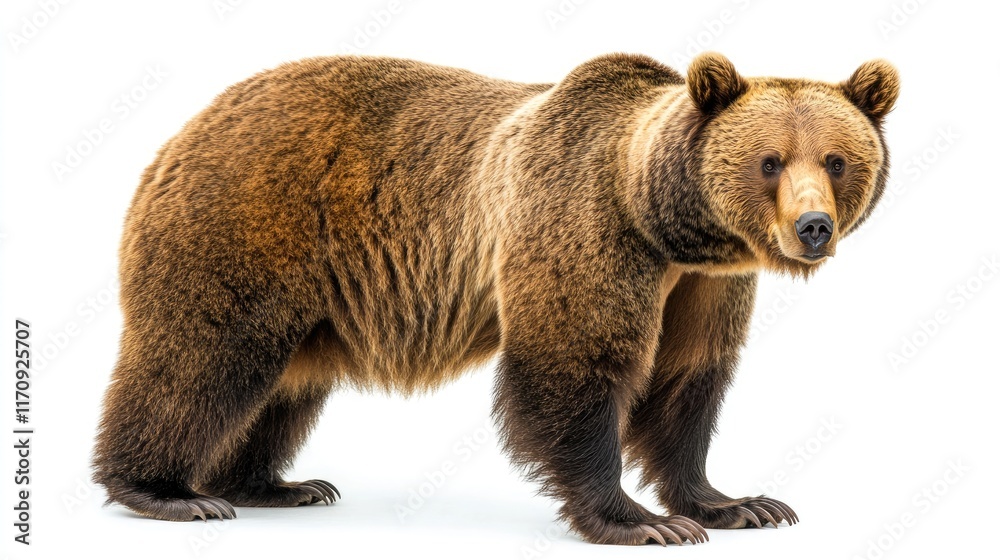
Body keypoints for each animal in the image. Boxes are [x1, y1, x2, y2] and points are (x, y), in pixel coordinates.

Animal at [92, 51, 898, 546]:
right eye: (770, 161)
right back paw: (166, 491)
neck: (667, 224)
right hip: (247, 220)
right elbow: (574, 365)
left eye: (836, 159)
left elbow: (687, 380)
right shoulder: (584, 224)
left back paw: (278, 484)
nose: (814, 226)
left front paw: (740, 503)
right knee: (202, 358)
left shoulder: (706, 282)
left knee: (282, 388)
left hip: (313, 296)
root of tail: (186, 127)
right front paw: (638, 520)